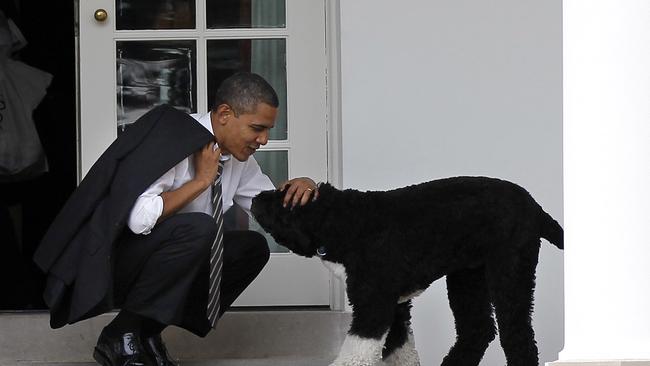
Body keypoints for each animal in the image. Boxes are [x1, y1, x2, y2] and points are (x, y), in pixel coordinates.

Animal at [251, 177, 560, 366]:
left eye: (281, 199)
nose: (254, 198)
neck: (344, 220)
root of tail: (535, 207)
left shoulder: (374, 305)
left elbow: (356, 352)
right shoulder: (396, 308)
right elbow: (400, 349)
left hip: (510, 271)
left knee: (518, 336)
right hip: (467, 278)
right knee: (478, 330)